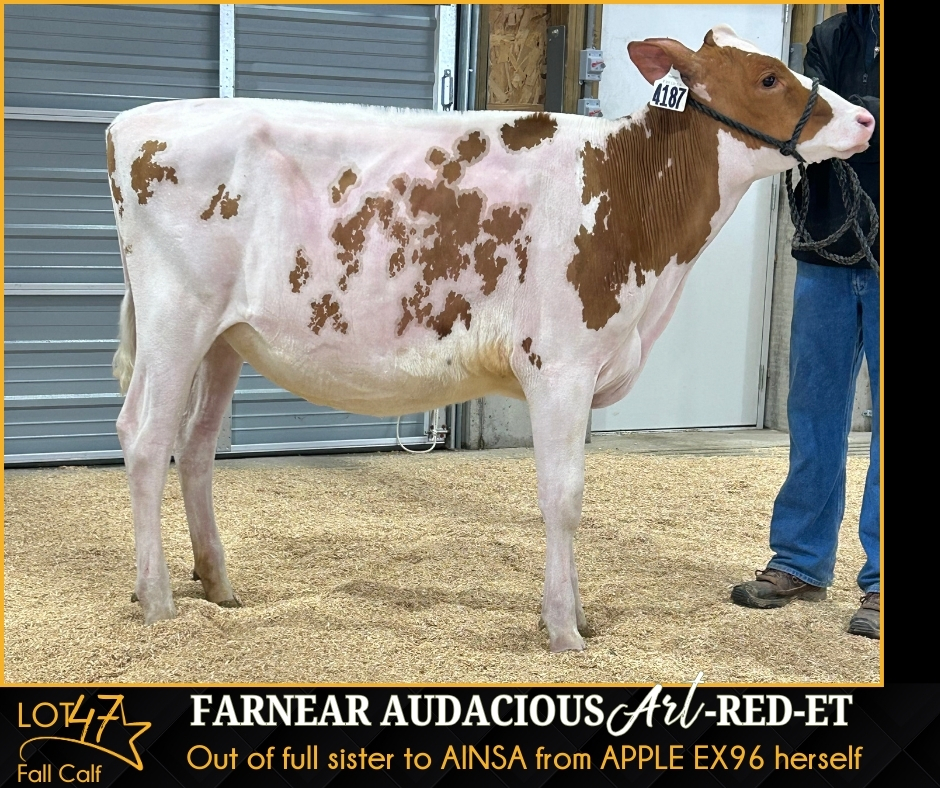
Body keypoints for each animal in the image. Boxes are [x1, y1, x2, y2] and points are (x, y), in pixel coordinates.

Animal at [106, 26, 874, 651]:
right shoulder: (561, 364)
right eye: (769, 77)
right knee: (144, 436)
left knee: (195, 445)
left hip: (225, 336)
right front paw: (565, 630)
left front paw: (576, 615)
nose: (866, 116)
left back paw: (218, 585)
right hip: (177, 315)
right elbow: (564, 497)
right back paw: (159, 600)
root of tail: (135, 120)